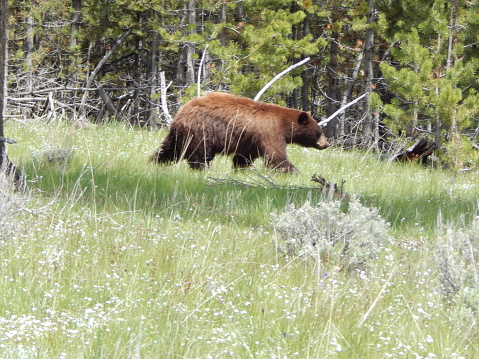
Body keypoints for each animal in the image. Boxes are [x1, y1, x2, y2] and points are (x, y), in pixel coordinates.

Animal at [151, 92, 330, 172]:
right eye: (319, 131)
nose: (326, 144)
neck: (283, 125)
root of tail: (180, 115)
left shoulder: (251, 139)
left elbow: (244, 156)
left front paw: (240, 169)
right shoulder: (270, 133)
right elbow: (276, 155)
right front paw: (293, 171)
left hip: (180, 135)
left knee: (169, 149)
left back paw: (155, 162)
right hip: (200, 132)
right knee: (200, 154)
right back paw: (202, 168)